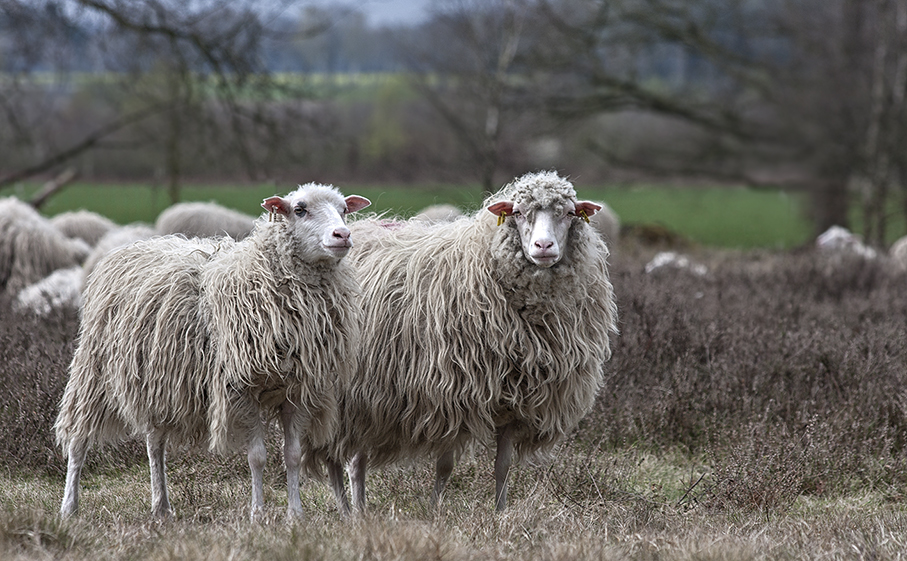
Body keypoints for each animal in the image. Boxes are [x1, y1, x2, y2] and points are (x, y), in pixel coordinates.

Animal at [53, 182, 370, 520]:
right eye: (299, 209)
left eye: (344, 210)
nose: (342, 235)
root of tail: (127, 249)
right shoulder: (242, 387)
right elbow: (257, 456)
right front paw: (257, 514)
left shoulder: (296, 389)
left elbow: (293, 454)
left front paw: (295, 515)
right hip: (93, 372)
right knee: (78, 438)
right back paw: (69, 507)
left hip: (157, 379)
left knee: (154, 442)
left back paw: (161, 506)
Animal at [330, 172, 620, 516]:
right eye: (518, 213)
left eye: (569, 213)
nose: (543, 246)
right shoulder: (452, 394)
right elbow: (444, 466)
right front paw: (435, 511)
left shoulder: (515, 405)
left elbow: (503, 466)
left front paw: (500, 513)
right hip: (347, 396)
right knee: (342, 462)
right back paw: (349, 512)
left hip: (366, 399)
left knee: (355, 459)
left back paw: (359, 511)